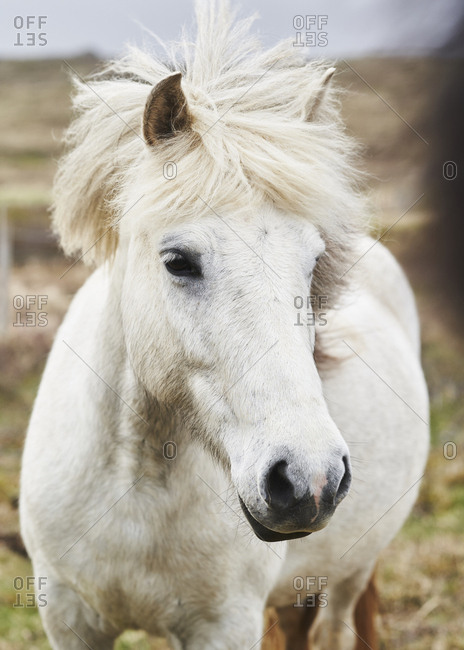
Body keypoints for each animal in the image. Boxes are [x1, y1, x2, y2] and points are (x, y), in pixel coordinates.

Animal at [20, 2, 429, 648]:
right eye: (177, 261)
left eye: (314, 263)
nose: (309, 479)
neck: (135, 485)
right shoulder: (66, 615)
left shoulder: (225, 624)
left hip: (352, 571)